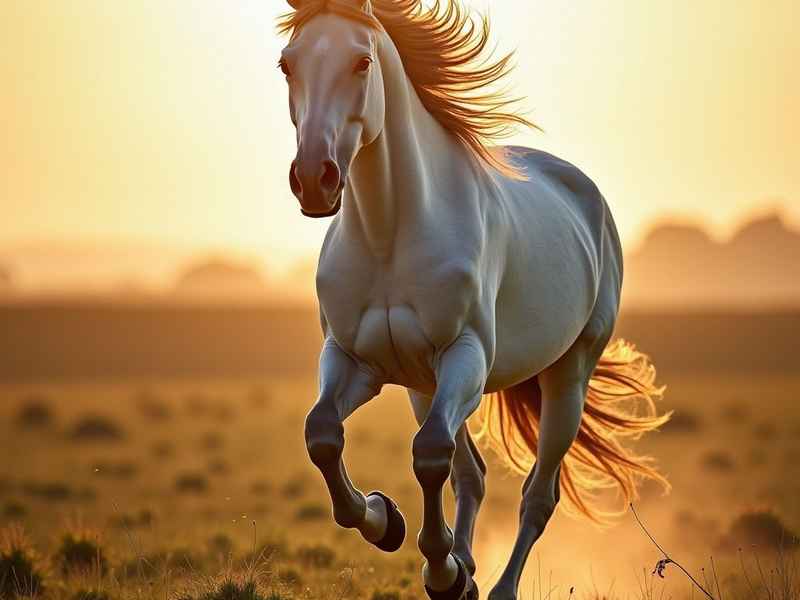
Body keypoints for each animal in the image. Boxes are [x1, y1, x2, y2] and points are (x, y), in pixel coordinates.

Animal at [277, 1, 670, 598]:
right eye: (287, 64)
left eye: (362, 62)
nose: (314, 180)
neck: (390, 233)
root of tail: (585, 193)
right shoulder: (355, 360)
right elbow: (322, 435)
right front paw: (386, 522)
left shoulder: (465, 355)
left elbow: (429, 456)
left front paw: (441, 569)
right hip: (423, 384)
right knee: (473, 475)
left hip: (567, 378)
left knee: (537, 495)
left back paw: (494, 584)